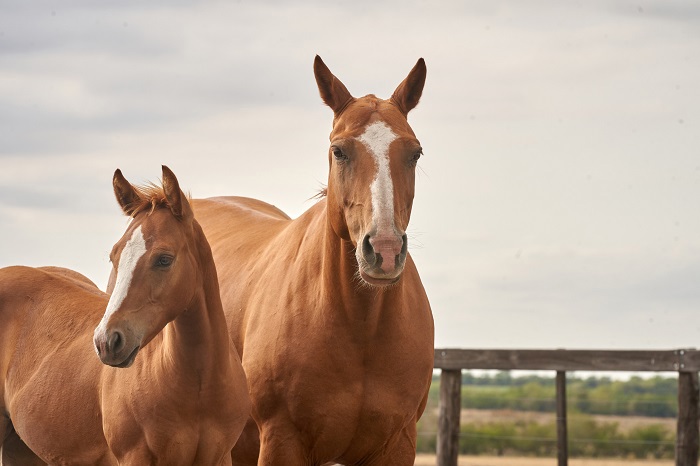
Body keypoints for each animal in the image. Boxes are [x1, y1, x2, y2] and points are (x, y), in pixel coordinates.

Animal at [0, 167, 252, 462]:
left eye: (164, 259)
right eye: (114, 257)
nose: (106, 342)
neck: (199, 387)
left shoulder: (220, 457)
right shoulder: (135, 456)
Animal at [190, 56, 432, 464]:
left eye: (414, 153)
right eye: (339, 151)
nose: (384, 251)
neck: (361, 331)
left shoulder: (397, 444)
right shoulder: (281, 441)